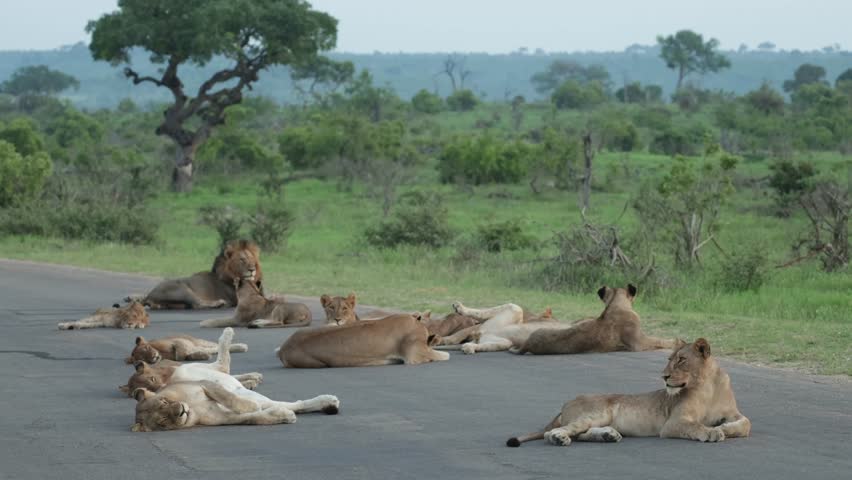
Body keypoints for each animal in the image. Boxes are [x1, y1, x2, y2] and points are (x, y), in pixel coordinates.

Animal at [124, 239, 263, 310]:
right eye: (242, 260)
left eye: (252, 259)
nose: (252, 269)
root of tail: (150, 295)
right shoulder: (239, 298)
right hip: (182, 289)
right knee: (197, 304)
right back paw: (218, 303)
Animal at [506, 338, 751, 447]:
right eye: (669, 359)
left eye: (681, 360)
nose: (664, 376)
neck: (707, 385)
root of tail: (565, 404)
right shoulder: (673, 423)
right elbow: (695, 426)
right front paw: (713, 432)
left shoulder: (733, 413)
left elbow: (745, 423)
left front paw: (725, 428)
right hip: (597, 411)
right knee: (558, 432)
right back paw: (559, 438)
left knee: (582, 434)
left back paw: (608, 435)